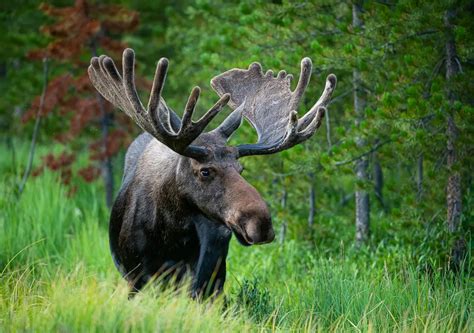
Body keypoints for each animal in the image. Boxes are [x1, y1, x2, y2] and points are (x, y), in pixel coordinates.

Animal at [87, 48, 336, 296]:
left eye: (241, 168)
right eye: (205, 171)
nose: (262, 223)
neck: (169, 234)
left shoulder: (203, 279)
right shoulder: (136, 278)